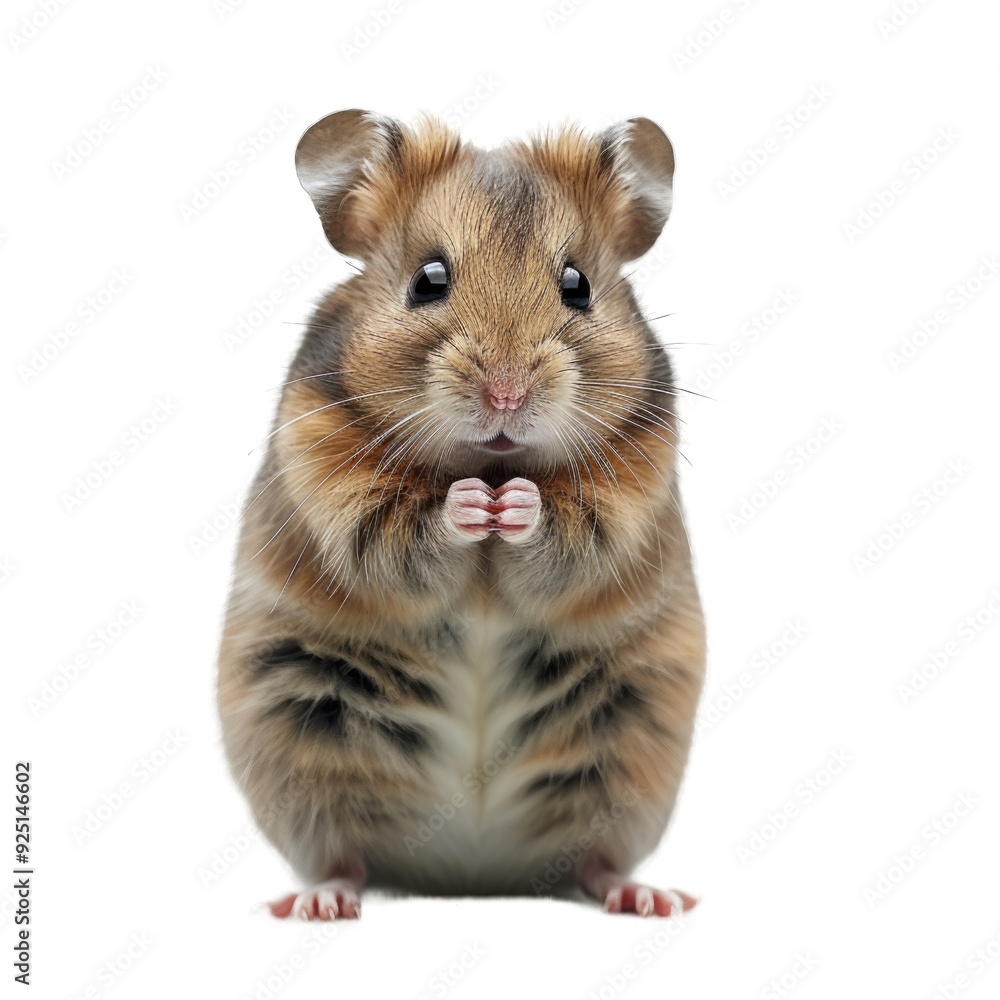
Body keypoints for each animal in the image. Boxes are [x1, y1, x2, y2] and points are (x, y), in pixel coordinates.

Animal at [216, 109, 706, 920]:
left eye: (577, 286)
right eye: (428, 281)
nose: (505, 395)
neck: (493, 458)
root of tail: (471, 874)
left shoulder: (630, 492)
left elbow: (572, 535)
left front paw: (517, 506)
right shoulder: (330, 479)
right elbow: (397, 534)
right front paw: (473, 505)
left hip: (635, 754)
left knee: (598, 857)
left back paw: (651, 898)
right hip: (295, 738)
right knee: (338, 854)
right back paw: (321, 902)